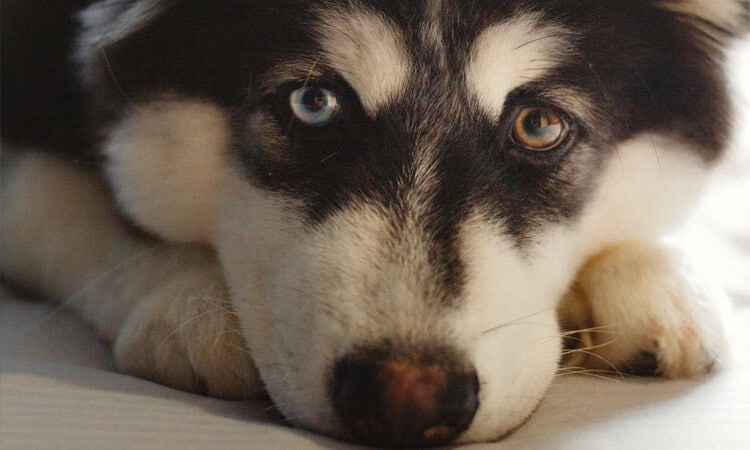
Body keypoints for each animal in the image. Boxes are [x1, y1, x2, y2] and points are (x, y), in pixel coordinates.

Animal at [1, 0, 750, 446]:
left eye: (539, 125)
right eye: (313, 103)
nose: (406, 399)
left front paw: (655, 274)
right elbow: (62, 204)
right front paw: (183, 296)